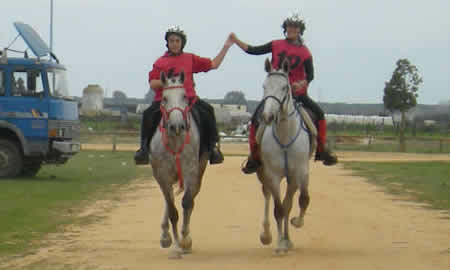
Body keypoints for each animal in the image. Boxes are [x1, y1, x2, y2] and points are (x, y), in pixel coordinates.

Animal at [149, 70, 209, 258]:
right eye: (164, 98)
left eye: (184, 96)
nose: (177, 126)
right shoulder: (163, 176)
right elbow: (173, 211)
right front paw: (176, 246)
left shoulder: (190, 173)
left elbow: (187, 203)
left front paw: (185, 241)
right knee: (169, 202)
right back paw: (165, 236)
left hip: (199, 171)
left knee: (190, 200)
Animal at [255, 57, 314, 253]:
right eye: (264, 86)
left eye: (284, 87)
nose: (267, 116)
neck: (285, 136)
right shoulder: (273, 175)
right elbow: (278, 209)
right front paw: (280, 243)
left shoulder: (297, 173)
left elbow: (294, 203)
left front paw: (290, 233)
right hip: (263, 173)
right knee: (266, 195)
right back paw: (266, 235)